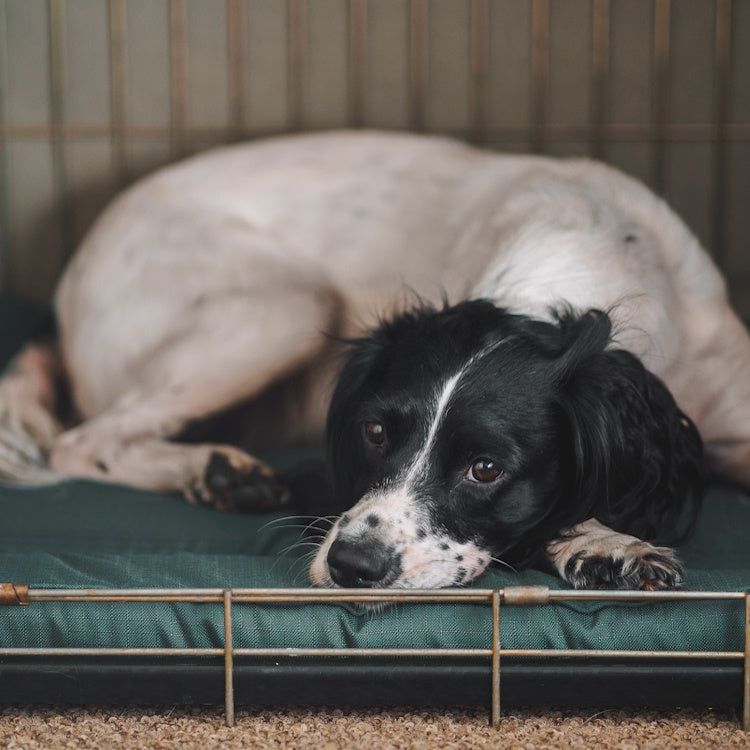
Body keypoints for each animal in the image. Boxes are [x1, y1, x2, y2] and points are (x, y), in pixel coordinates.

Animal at [1, 131, 750, 592]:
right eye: (374, 431)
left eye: (486, 469)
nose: (351, 564)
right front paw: (607, 542)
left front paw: (608, 539)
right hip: (290, 304)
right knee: (80, 441)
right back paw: (213, 470)